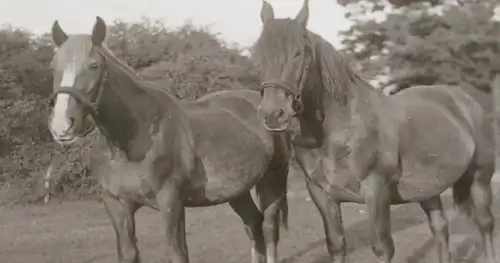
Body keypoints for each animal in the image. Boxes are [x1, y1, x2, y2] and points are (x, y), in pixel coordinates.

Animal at [47, 16, 292, 263]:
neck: (131, 141)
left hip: (273, 180)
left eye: (94, 66)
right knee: (253, 223)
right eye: (53, 67)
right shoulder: (116, 205)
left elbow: (178, 252)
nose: (61, 126)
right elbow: (129, 253)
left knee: (269, 228)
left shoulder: (170, 201)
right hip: (237, 191)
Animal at [254, 1, 496, 262]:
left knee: (485, 224)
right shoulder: (322, 194)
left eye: (301, 52)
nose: (273, 114)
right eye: (258, 56)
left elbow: (382, 247)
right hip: (427, 188)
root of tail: (465, 100)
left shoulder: (376, 189)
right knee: (440, 228)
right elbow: (336, 245)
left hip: (480, 179)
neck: (338, 132)